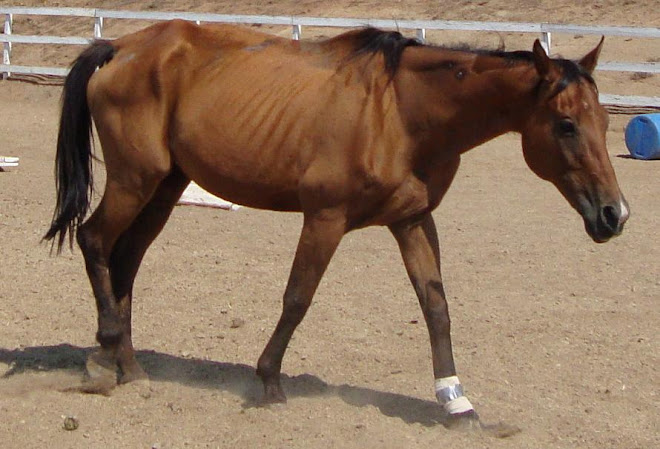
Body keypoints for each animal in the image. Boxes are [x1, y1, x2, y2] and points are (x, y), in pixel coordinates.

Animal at [44, 20, 628, 426]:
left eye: (605, 121)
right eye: (567, 124)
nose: (614, 214)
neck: (401, 113)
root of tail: (121, 47)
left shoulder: (413, 221)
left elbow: (436, 307)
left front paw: (455, 401)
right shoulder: (324, 219)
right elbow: (297, 298)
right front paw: (269, 381)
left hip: (164, 187)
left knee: (125, 260)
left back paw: (129, 366)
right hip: (134, 180)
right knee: (94, 240)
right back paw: (104, 357)